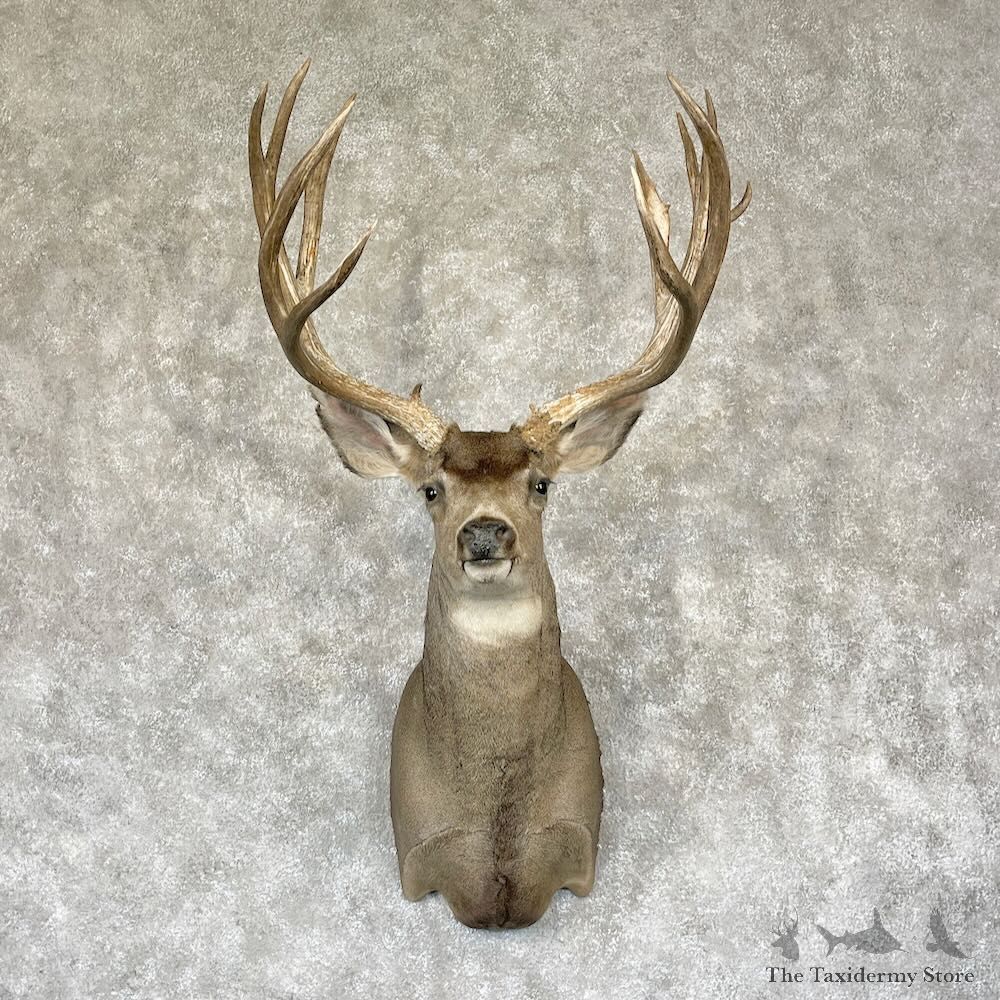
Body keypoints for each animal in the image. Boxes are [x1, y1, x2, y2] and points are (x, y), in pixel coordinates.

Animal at [248, 60, 750, 929]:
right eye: (430, 490)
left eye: (540, 483)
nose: (485, 533)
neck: (499, 831)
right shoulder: (420, 858)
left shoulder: (576, 848)